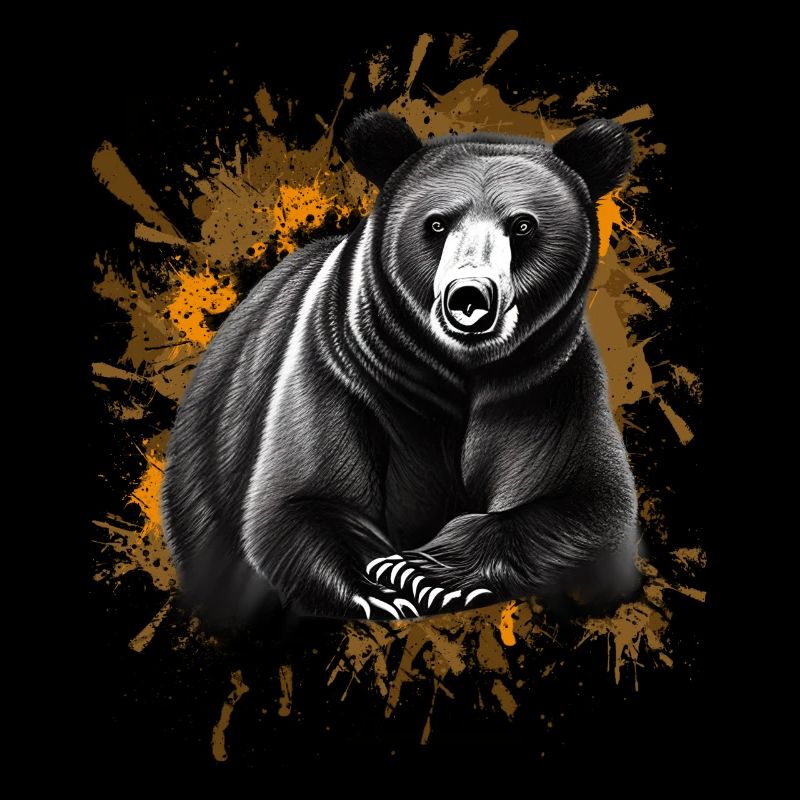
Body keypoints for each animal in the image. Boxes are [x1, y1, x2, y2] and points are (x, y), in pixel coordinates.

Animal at [161, 110, 640, 625]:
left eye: (523, 225)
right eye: (437, 223)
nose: (469, 296)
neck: (461, 370)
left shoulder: (546, 385)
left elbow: (589, 502)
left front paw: (427, 571)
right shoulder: (344, 368)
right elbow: (301, 499)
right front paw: (380, 586)